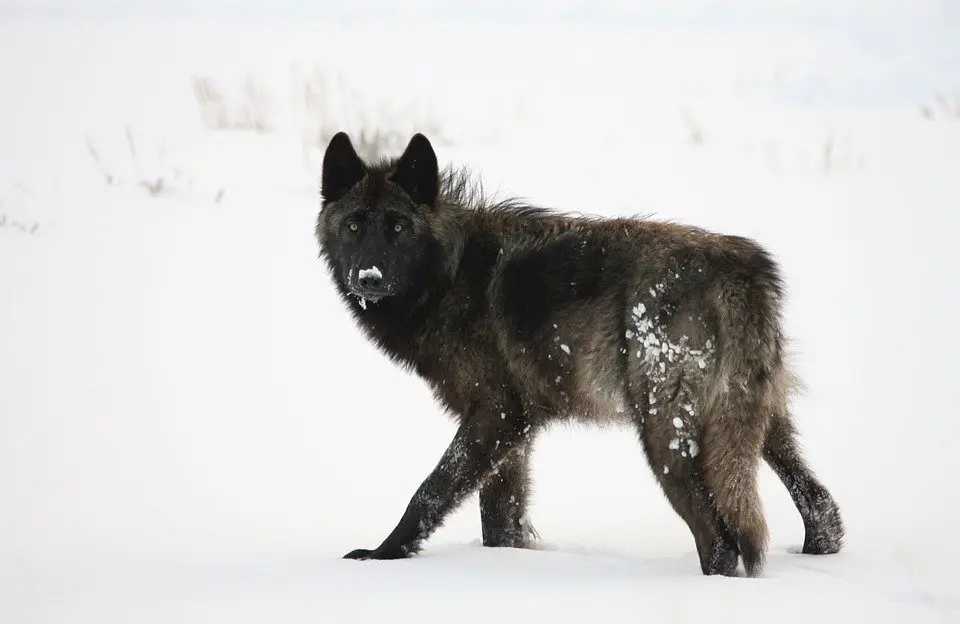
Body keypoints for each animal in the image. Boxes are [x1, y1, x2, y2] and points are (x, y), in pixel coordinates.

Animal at [316, 130, 840, 576]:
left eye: (398, 227)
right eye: (355, 225)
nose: (368, 277)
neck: (449, 273)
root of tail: (741, 270)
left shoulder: (495, 415)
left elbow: (429, 492)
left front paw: (380, 556)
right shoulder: (515, 433)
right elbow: (500, 522)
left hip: (665, 438)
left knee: (721, 541)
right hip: (758, 425)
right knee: (822, 505)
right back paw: (818, 551)